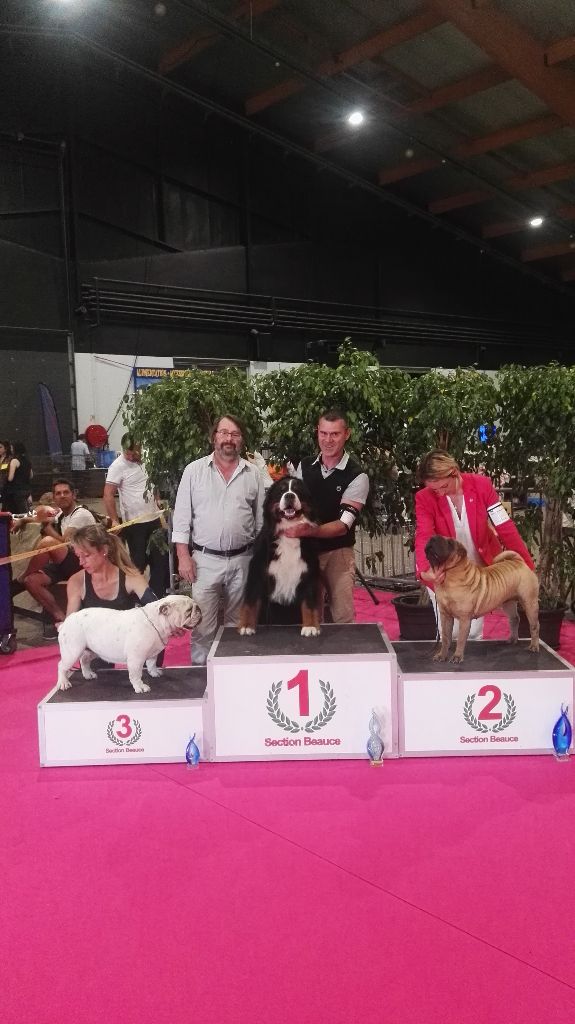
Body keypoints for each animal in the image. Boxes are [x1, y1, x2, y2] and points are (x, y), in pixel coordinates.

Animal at [235, 475, 319, 634]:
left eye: (298, 491)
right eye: (281, 491)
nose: (290, 495)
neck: (288, 532)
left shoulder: (309, 572)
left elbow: (309, 602)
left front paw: (310, 626)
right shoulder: (257, 571)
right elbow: (251, 602)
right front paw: (247, 626)